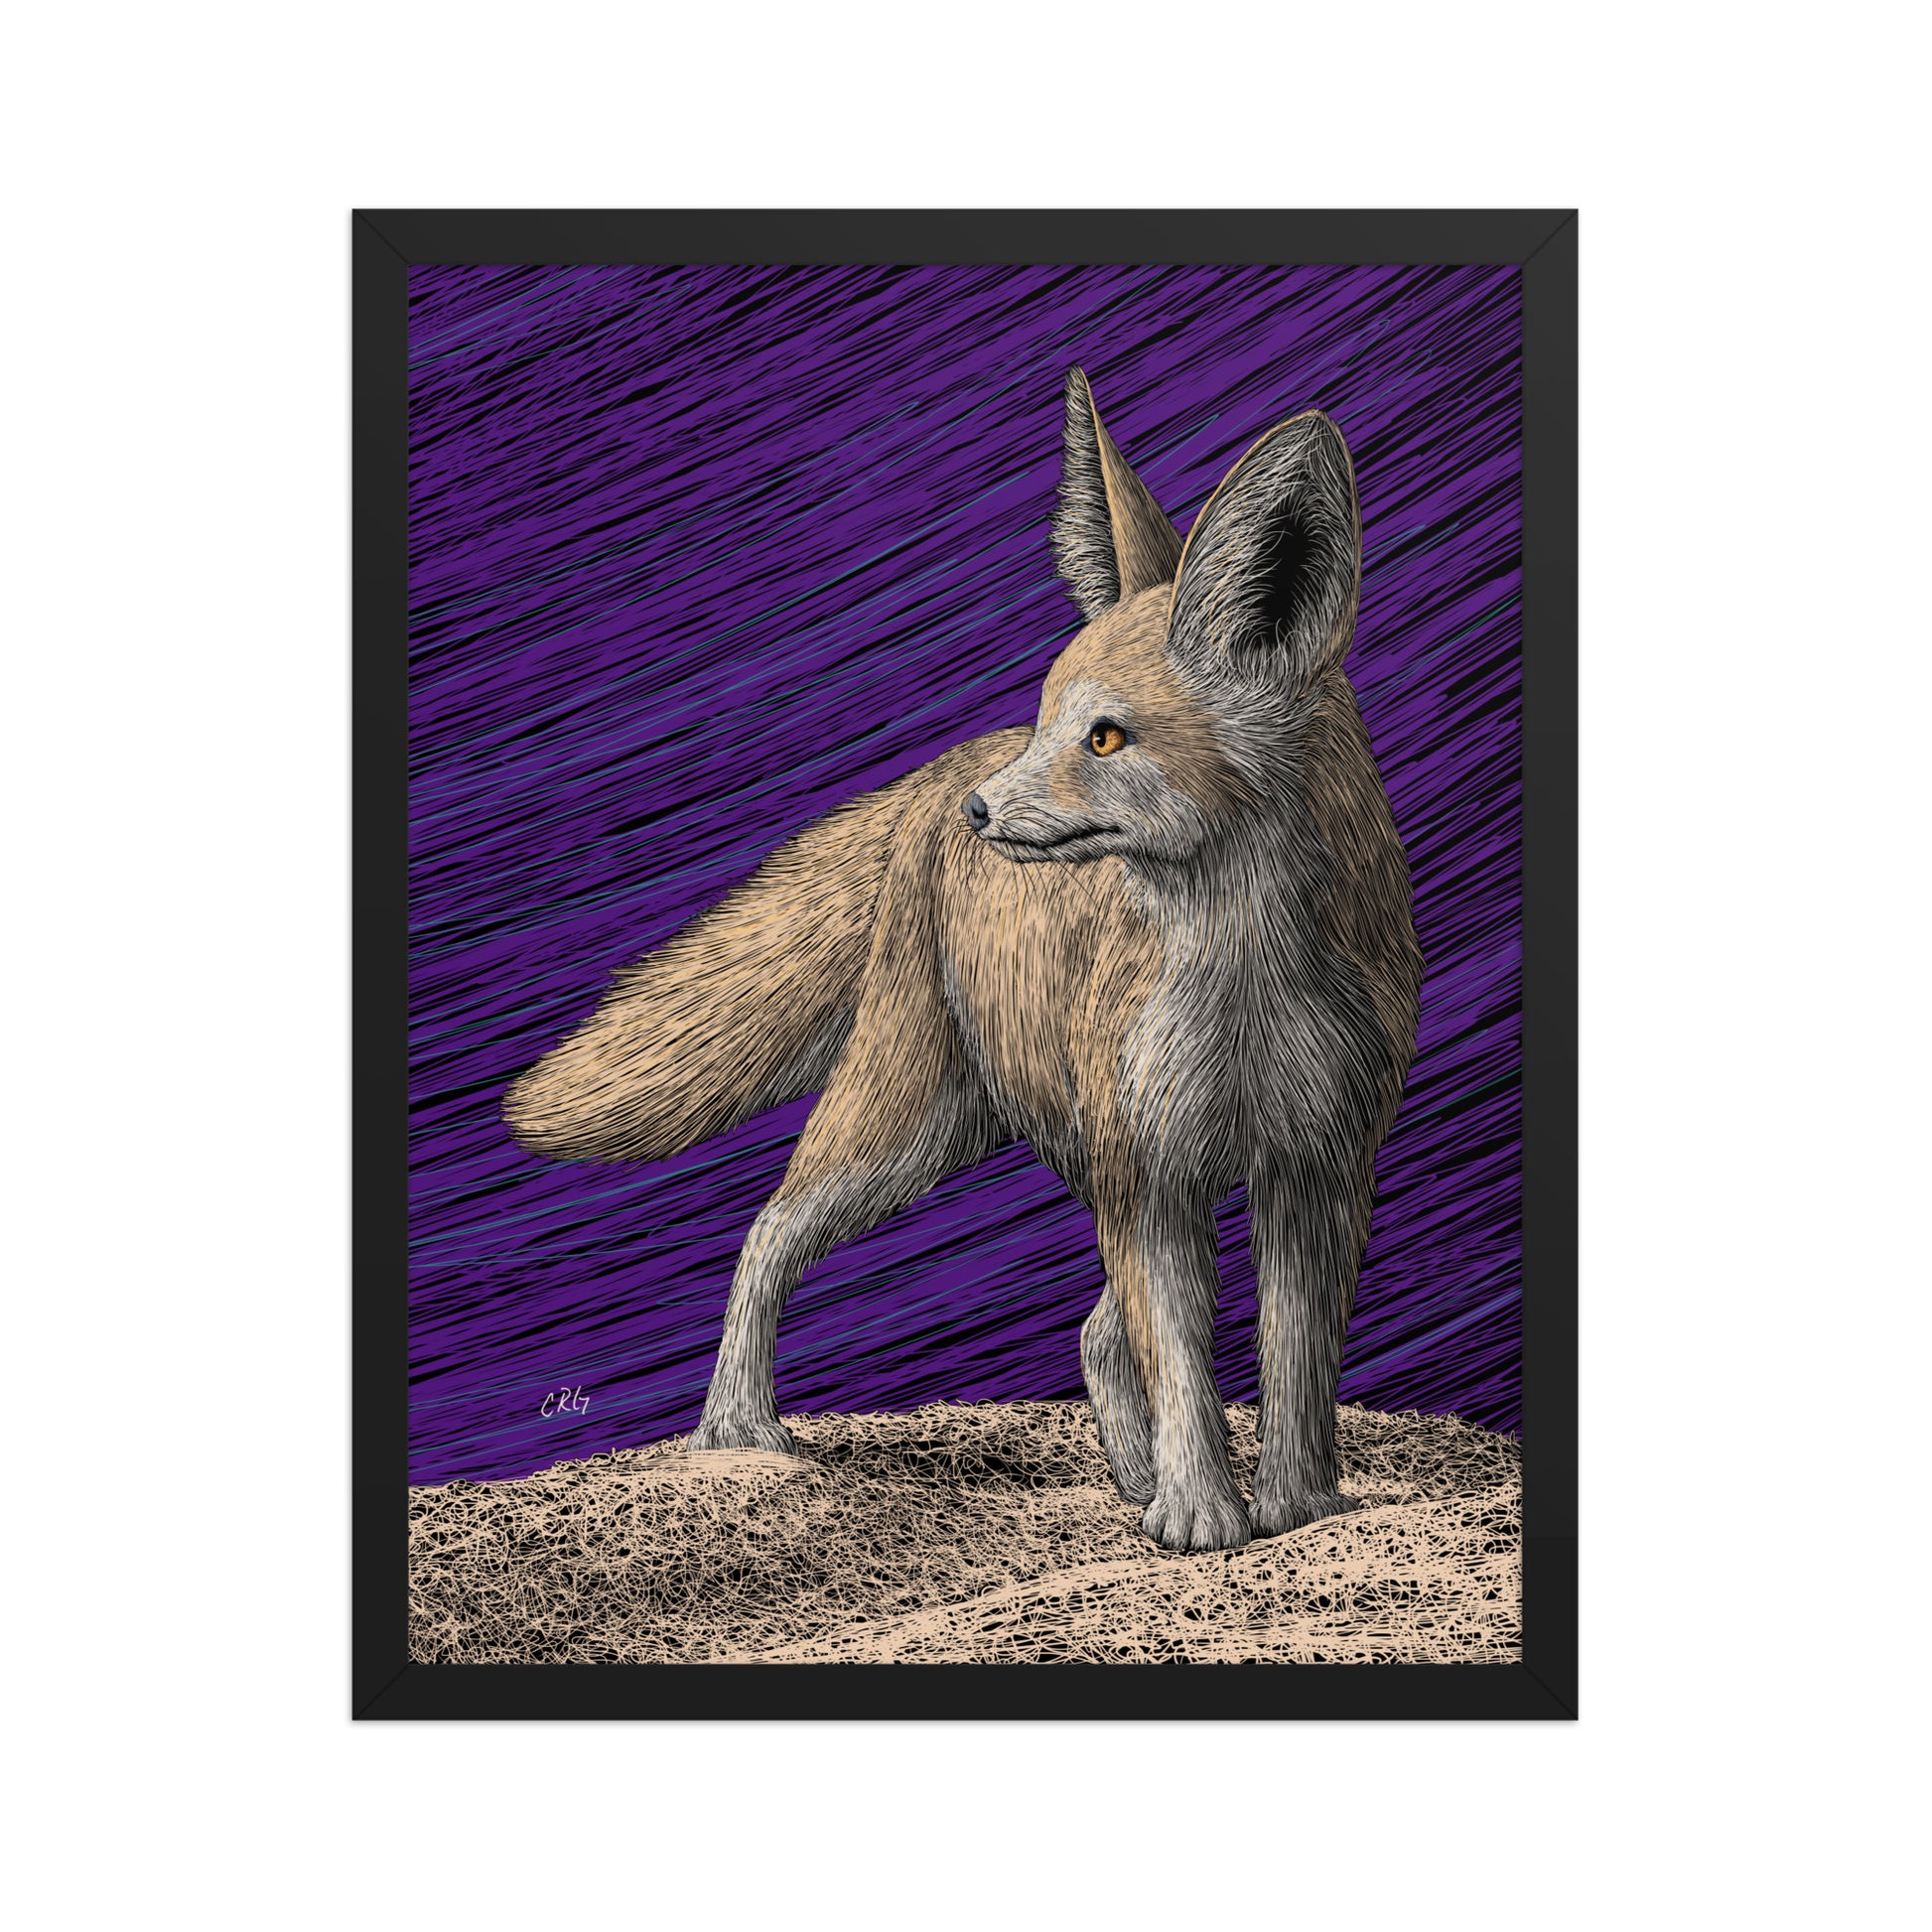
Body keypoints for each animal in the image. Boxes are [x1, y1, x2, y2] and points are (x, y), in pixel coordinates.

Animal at [504, 368, 1422, 1554]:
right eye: (1047, 719)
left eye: (1104, 737)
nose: (982, 811)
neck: (1243, 987)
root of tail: (933, 778)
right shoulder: (1150, 1173)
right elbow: (1183, 1360)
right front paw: (1201, 1517)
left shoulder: (1319, 1164)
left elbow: (1297, 1364)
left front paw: (1298, 1508)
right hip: (903, 1131)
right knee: (766, 1232)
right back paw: (737, 1434)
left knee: (1091, 1333)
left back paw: (1128, 1479)